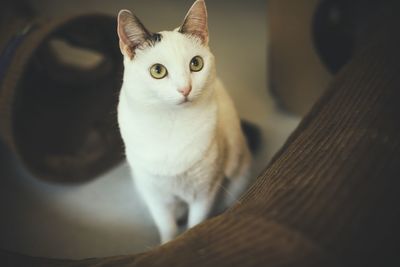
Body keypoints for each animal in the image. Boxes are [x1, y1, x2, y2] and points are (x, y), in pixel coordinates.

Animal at [117, 0, 252, 244]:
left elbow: (195, 224)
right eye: (158, 70)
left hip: (238, 176)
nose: (185, 89)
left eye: (196, 63)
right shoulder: (155, 197)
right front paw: (168, 244)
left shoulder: (206, 190)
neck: (173, 123)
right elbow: (167, 227)